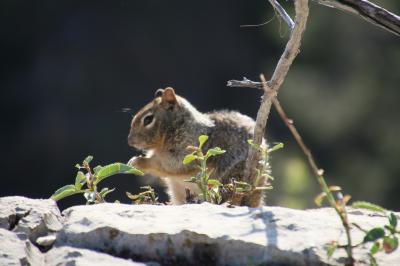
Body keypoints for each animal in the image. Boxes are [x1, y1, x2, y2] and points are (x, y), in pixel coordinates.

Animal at [128, 87, 266, 206]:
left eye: (148, 119)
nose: (130, 141)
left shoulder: (186, 153)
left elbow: (167, 165)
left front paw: (137, 162)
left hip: (231, 178)